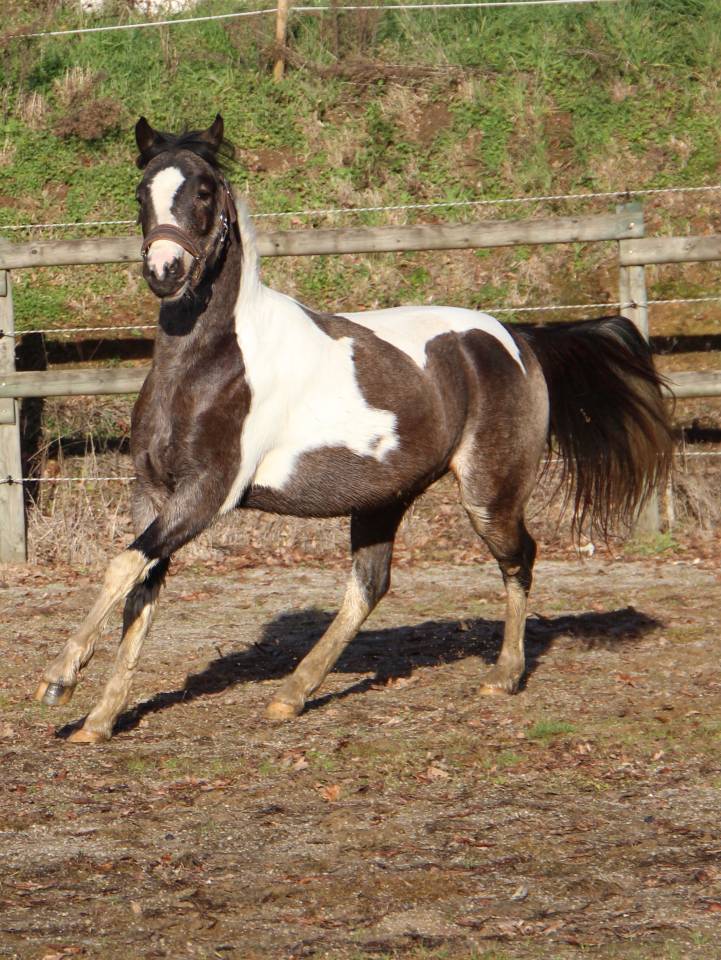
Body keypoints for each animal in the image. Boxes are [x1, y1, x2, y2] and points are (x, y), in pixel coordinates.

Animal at [34, 115, 674, 743]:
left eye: (205, 190)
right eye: (142, 191)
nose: (166, 271)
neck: (210, 366)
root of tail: (518, 338)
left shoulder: (209, 493)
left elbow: (122, 566)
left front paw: (58, 679)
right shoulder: (152, 493)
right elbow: (139, 594)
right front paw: (98, 721)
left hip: (489, 492)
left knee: (518, 559)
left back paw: (504, 676)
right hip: (383, 498)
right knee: (371, 585)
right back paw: (291, 695)